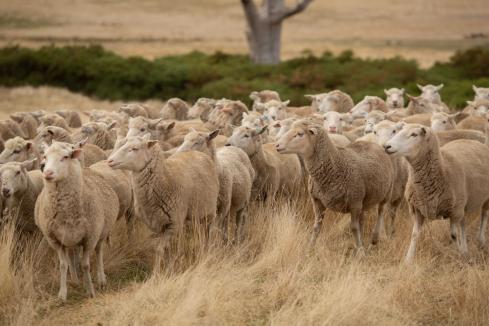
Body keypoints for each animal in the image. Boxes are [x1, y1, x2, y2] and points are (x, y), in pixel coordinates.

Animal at [34, 141, 119, 302]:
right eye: (45, 156)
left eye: (65, 157)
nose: (47, 173)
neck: (66, 210)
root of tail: (86, 169)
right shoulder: (56, 240)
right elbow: (63, 265)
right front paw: (62, 294)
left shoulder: (90, 237)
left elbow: (85, 265)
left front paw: (90, 291)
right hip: (71, 239)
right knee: (72, 255)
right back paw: (76, 280)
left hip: (101, 233)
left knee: (99, 253)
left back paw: (101, 279)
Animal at [109, 134, 220, 272]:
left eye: (134, 148)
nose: (110, 161)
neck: (166, 180)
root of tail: (200, 153)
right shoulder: (158, 224)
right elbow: (166, 249)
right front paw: (168, 267)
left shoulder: (173, 224)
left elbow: (159, 249)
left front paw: (157, 273)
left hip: (209, 212)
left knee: (208, 233)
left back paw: (206, 252)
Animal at [274, 119, 392, 250]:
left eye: (300, 134)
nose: (277, 145)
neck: (335, 164)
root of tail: (372, 143)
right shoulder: (317, 202)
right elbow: (316, 227)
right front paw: (310, 248)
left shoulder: (354, 202)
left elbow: (354, 228)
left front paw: (360, 251)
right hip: (364, 200)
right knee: (362, 219)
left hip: (386, 193)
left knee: (380, 212)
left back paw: (375, 238)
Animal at [384, 124, 488, 262]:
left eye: (414, 134)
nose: (387, 146)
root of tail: (474, 142)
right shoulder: (417, 210)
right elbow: (414, 234)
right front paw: (408, 259)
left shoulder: (454, 211)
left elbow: (453, 235)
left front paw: (459, 256)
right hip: (462, 204)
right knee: (463, 223)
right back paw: (465, 250)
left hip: (480, 201)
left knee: (484, 214)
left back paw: (480, 240)